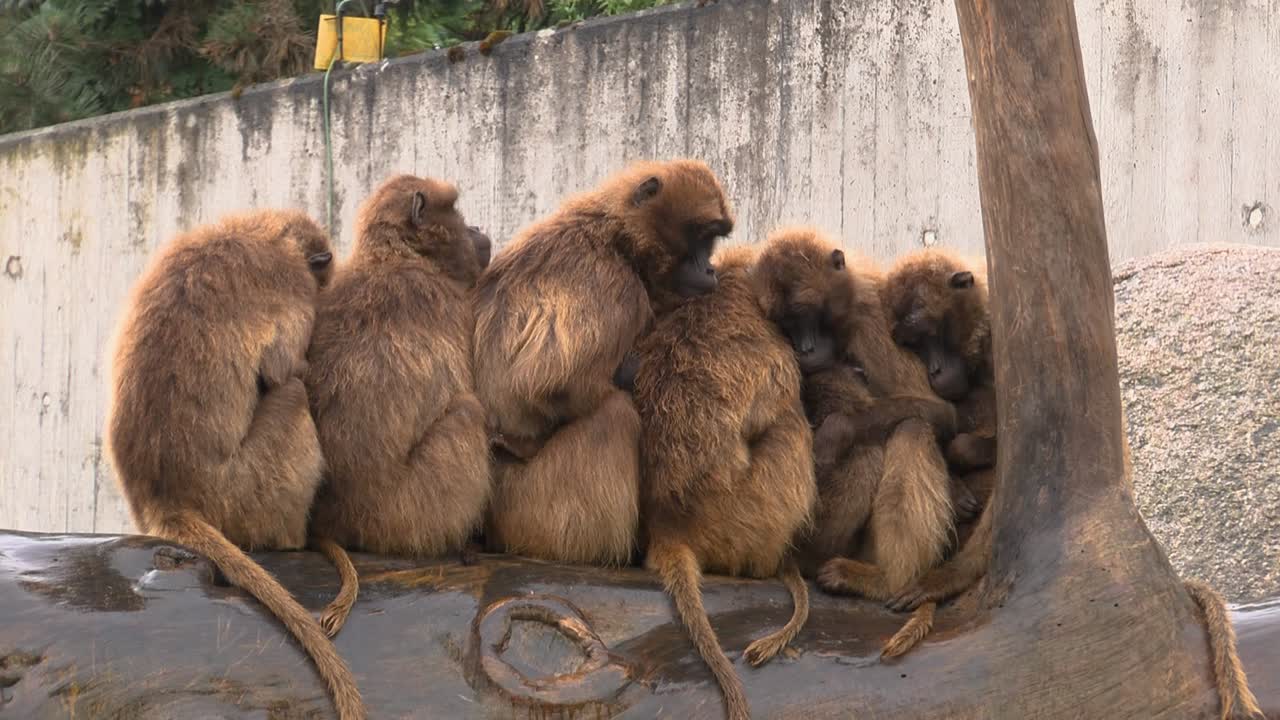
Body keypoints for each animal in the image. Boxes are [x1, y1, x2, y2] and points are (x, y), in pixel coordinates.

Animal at [104, 210, 365, 720]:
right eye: (320, 278)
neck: (263, 232)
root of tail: (161, 498)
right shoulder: (292, 287)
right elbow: (285, 369)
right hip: (243, 492)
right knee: (290, 393)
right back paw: (293, 538)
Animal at [305, 175, 492, 636]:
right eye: (456, 210)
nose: (478, 227)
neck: (394, 255)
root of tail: (339, 517)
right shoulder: (447, 300)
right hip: (407, 515)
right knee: (467, 413)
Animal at [472, 159, 733, 566]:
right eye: (701, 238)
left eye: (711, 243)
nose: (709, 268)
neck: (618, 239)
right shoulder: (615, 284)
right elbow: (545, 384)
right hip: (530, 513)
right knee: (615, 413)